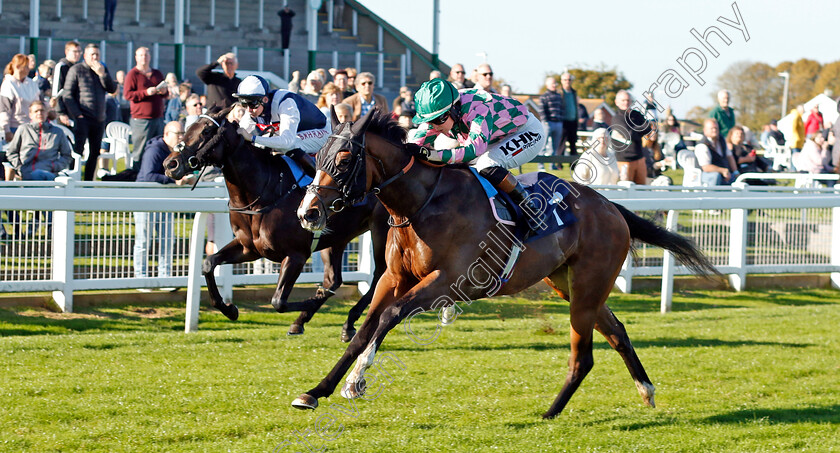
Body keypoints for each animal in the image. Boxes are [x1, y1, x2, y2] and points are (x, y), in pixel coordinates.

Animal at [162, 107, 390, 340]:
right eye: (190, 126)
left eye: (206, 131)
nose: (170, 164)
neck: (263, 192)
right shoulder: (249, 248)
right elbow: (209, 263)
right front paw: (229, 309)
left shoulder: (296, 255)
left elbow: (278, 301)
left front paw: (311, 301)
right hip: (337, 237)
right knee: (333, 279)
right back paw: (303, 321)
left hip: (381, 229)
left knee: (379, 273)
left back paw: (349, 321)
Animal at [292, 108, 720, 416]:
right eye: (317, 156)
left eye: (343, 159)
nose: (307, 212)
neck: (422, 203)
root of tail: (611, 207)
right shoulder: (393, 278)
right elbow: (364, 329)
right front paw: (316, 391)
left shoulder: (448, 282)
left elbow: (390, 316)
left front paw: (356, 382)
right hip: (571, 285)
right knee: (617, 332)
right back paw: (645, 391)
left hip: (586, 289)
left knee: (584, 356)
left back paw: (550, 412)